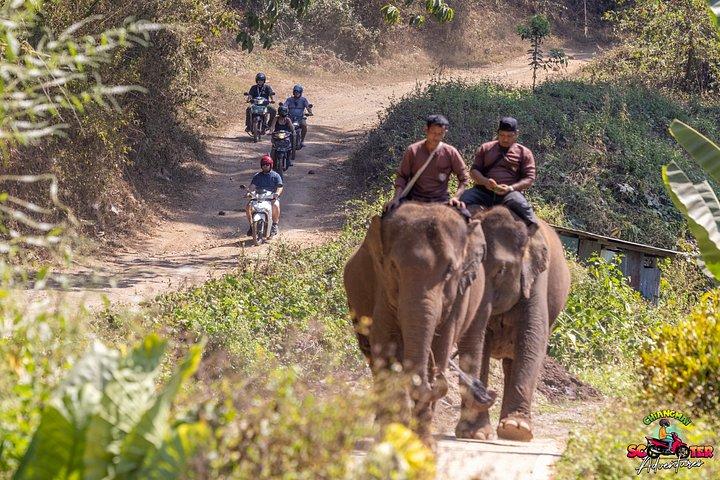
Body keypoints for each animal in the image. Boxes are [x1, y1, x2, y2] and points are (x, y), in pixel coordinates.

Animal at [343, 202, 493, 442]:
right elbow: (385, 345)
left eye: (450, 270)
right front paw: (394, 437)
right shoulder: (383, 287)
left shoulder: (458, 296)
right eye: (394, 267)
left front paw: (423, 443)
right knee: (372, 359)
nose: (432, 381)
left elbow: (441, 347)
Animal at [455, 206, 571, 442]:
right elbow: (480, 342)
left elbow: (532, 338)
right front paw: (476, 434)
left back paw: (510, 428)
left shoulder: (537, 281)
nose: (489, 394)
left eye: (501, 270)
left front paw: (517, 429)